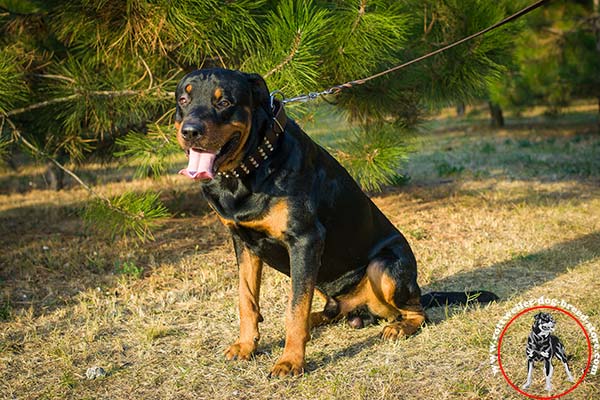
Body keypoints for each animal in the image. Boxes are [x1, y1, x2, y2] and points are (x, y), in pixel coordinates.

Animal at [173, 67, 496, 376]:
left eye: (224, 102)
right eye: (184, 100)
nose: (190, 132)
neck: (250, 168)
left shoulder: (305, 240)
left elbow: (294, 308)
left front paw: (290, 362)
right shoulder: (243, 242)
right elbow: (247, 299)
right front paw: (245, 346)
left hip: (384, 268)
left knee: (418, 312)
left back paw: (398, 327)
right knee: (332, 309)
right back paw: (319, 320)